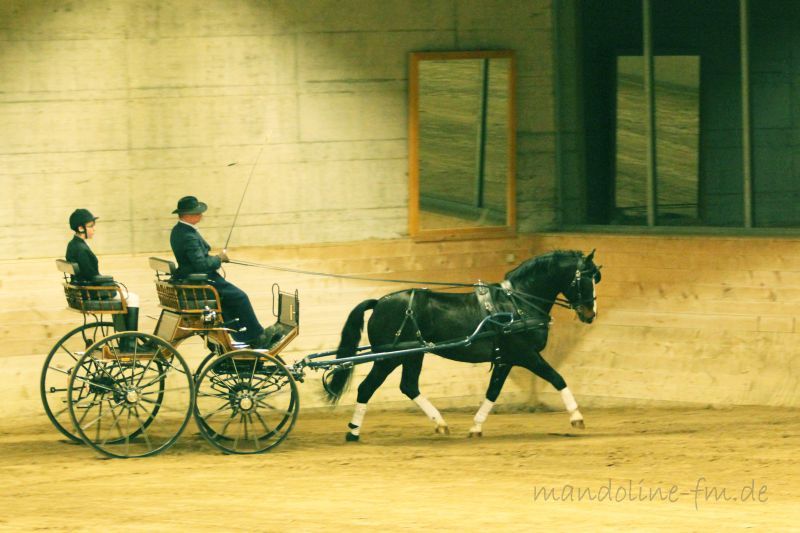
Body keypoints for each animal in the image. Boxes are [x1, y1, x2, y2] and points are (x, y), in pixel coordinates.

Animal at [324, 249, 600, 440]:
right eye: (586, 280)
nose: (590, 314)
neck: (518, 304)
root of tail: (380, 302)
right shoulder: (525, 354)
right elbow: (557, 378)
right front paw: (577, 417)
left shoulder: (505, 359)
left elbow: (493, 392)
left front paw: (476, 427)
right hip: (390, 357)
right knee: (367, 388)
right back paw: (354, 432)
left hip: (412, 355)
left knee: (408, 386)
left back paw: (439, 423)